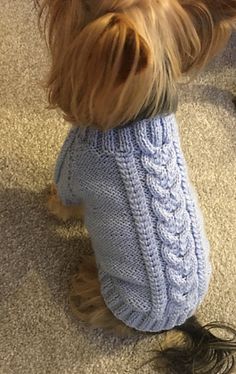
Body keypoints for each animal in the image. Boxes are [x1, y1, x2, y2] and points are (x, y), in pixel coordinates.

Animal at [35, 0, 236, 372]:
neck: (138, 118)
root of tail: (183, 324)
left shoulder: (69, 172)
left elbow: (61, 204)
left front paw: (48, 200)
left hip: (108, 293)